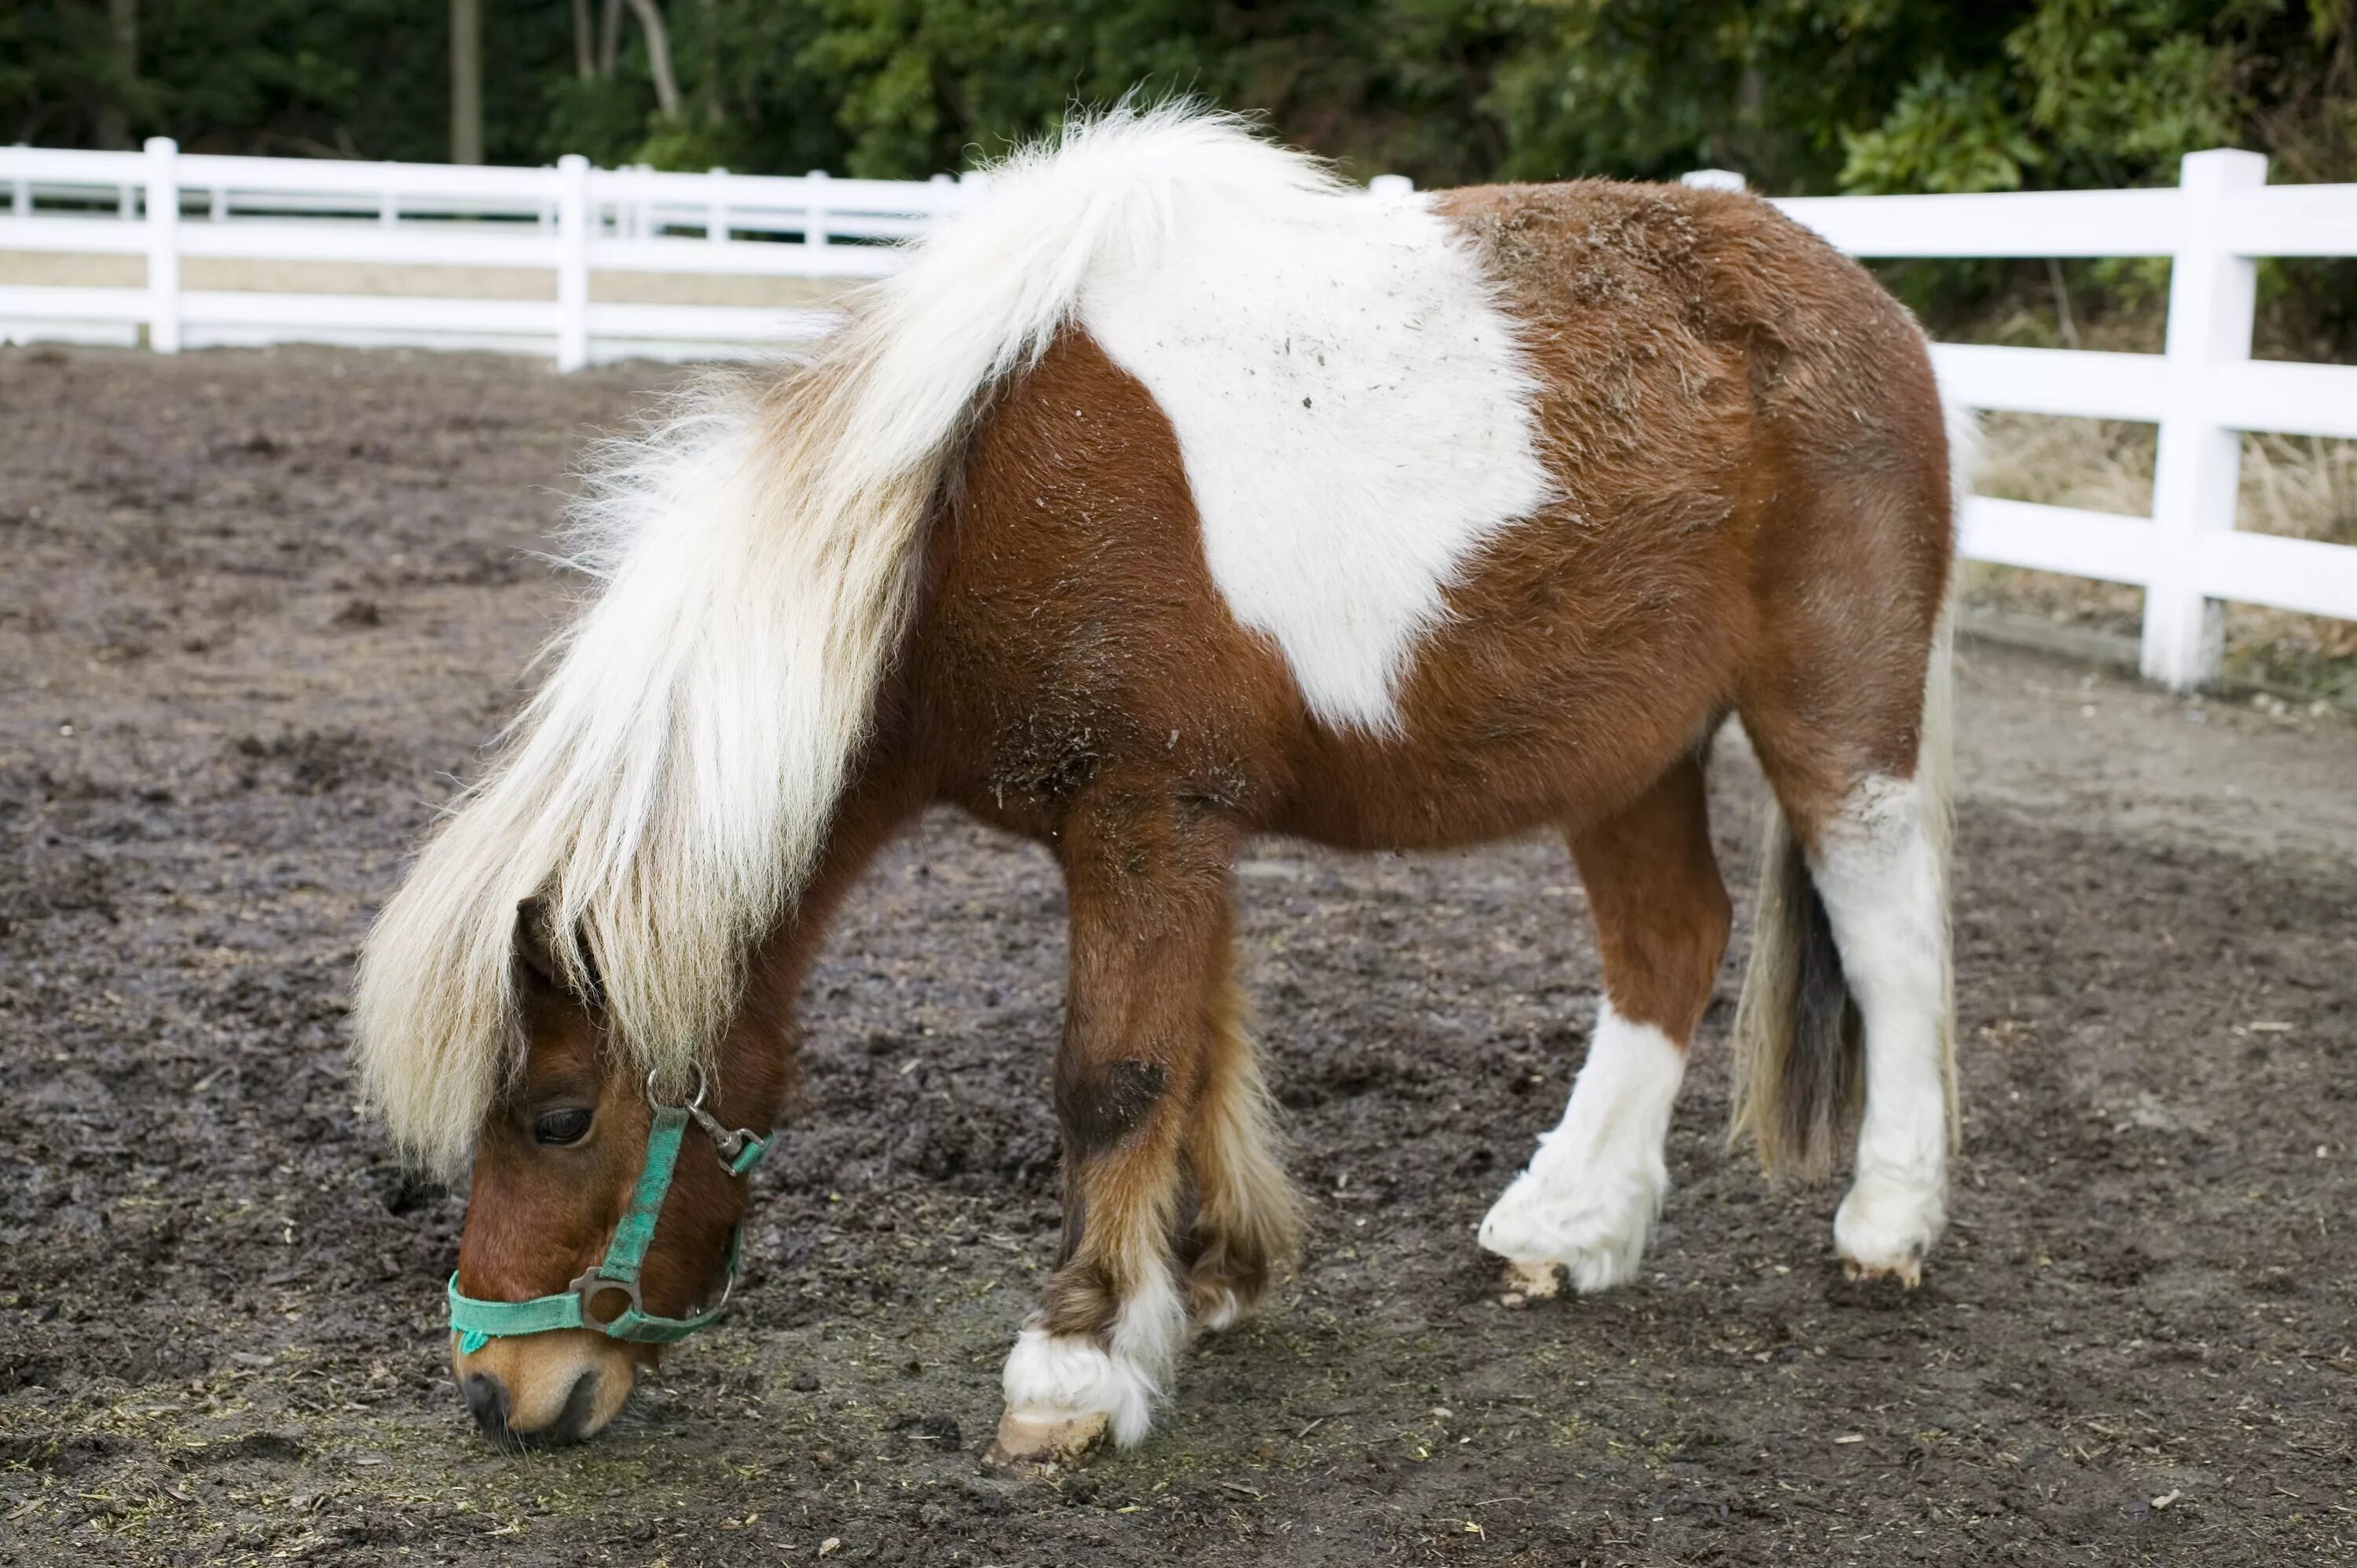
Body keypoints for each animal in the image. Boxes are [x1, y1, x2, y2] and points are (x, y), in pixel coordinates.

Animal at [354, 107, 1970, 1452]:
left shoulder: (1144, 817)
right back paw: (1572, 1228)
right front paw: (1202, 1283)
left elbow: (1117, 1075)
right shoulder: (1182, 830)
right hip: (1628, 751)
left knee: (1891, 939)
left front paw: (1074, 1362)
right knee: (1667, 944)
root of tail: (1870, 305)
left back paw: (1887, 1224)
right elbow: (1197, 1051)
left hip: (1833, 720)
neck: (959, 515)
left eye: (559, 1116)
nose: (503, 1392)